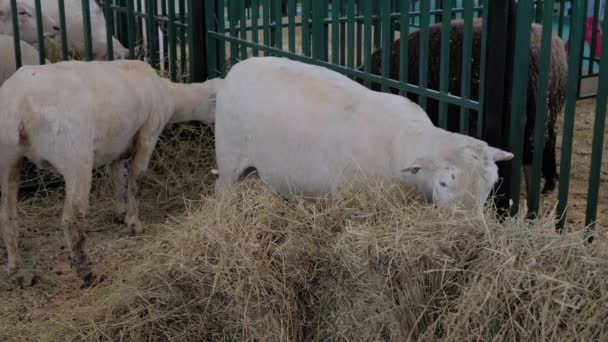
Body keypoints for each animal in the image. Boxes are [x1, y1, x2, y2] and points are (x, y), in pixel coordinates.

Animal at [0, 59, 223, 286]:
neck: (170, 94)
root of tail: (18, 104)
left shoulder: (116, 145)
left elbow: (118, 177)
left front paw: (120, 211)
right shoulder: (149, 133)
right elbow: (136, 178)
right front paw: (133, 223)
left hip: (7, 159)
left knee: (6, 215)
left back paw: (18, 272)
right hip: (75, 156)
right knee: (72, 219)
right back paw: (87, 272)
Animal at [214, 55, 512, 210]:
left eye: (489, 187)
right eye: (444, 183)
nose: (468, 232)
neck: (401, 143)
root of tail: (236, 68)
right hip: (228, 159)